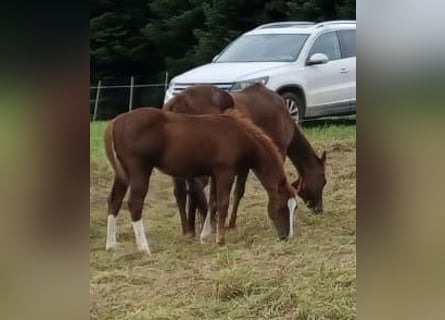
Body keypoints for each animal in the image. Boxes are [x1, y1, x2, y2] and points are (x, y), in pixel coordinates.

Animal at [104, 108, 298, 255]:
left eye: (295, 208)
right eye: (282, 207)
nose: (287, 237)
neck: (238, 135)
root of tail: (116, 122)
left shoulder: (214, 174)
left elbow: (212, 203)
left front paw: (204, 236)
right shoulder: (225, 173)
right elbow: (223, 204)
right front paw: (220, 241)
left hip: (122, 175)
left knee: (114, 201)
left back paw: (111, 245)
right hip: (140, 172)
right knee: (135, 203)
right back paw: (144, 248)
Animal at [163, 84, 326, 236]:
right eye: (323, 181)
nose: (319, 209)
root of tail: (178, 101)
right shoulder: (274, 154)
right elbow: (239, 191)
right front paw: (231, 223)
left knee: (182, 192)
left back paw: (188, 229)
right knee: (196, 186)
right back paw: (210, 223)